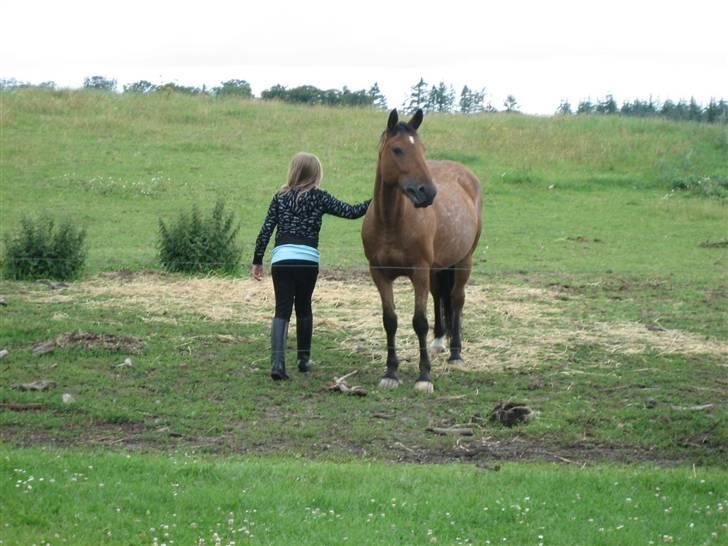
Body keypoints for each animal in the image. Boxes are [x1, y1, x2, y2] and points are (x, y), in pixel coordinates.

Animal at [361, 108, 482, 393]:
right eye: (397, 149)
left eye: (422, 149)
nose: (427, 192)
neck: (391, 222)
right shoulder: (379, 274)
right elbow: (390, 320)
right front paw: (390, 372)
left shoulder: (418, 272)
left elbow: (419, 322)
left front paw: (424, 376)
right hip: (438, 267)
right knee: (440, 295)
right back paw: (439, 341)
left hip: (464, 260)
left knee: (457, 299)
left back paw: (455, 353)